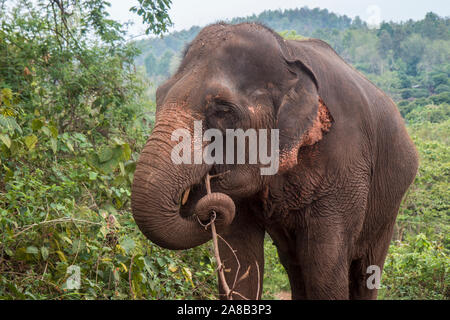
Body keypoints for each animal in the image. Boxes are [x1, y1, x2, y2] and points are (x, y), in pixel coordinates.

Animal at [130, 23, 418, 300]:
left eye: (222, 109)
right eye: (158, 96)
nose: (208, 210)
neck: (287, 54)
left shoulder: (345, 163)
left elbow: (325, 272)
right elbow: (239, 257)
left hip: (389, 204)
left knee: (364, 271)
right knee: (295, 267)